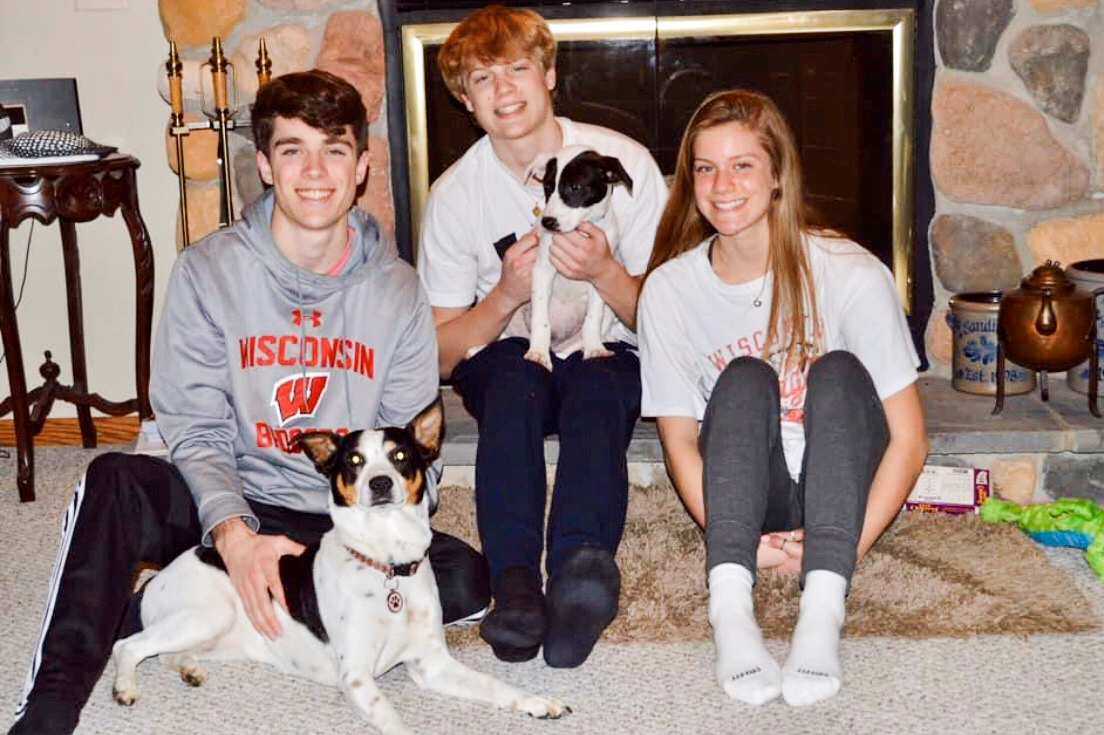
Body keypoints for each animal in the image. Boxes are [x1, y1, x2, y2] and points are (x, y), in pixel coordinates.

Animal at [109, 395, 569, 732]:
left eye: (401, 456)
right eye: (354, 461)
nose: (380, 483)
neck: (386, 564)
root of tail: (156, 579)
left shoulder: (432, 664)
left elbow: (495, 684)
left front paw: (536, 702)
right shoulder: (358, 676)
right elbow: (395, 720)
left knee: (165, 654)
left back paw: (188, 669)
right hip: (208, 613)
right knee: (126, 645)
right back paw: (125, 687)